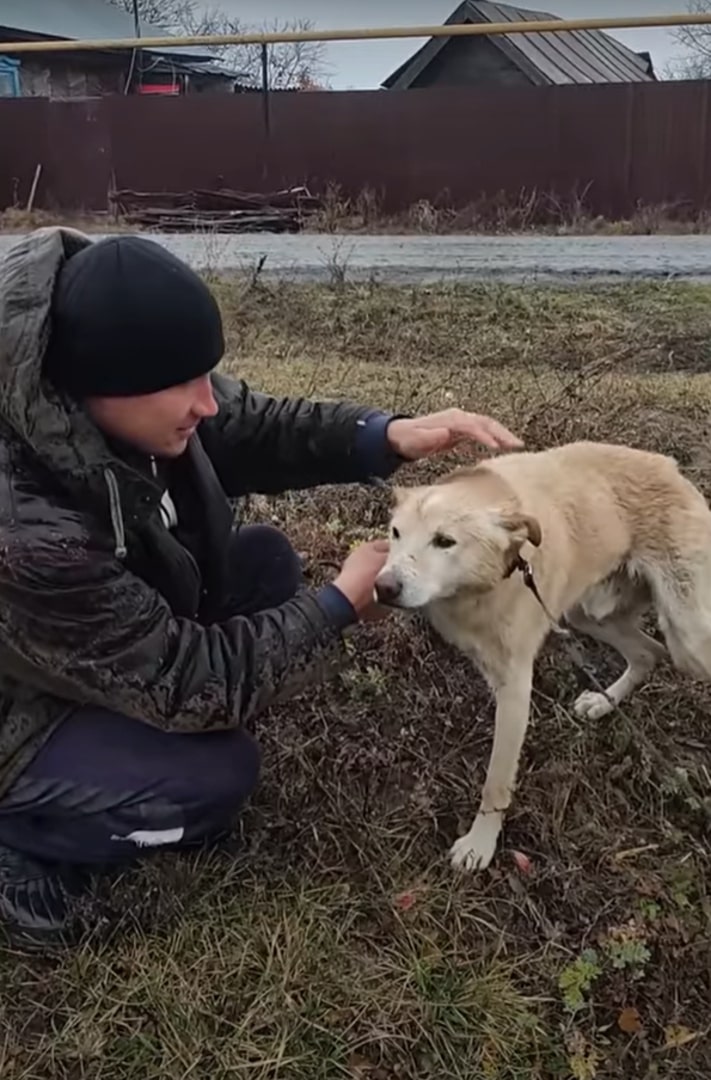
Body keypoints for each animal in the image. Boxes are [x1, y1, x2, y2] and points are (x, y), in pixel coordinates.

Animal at [373, 442, 708, 872]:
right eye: (396, 533)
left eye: (444, 541)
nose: (382, 587)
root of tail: (670, 466)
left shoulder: (516, 689)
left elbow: (496, 784)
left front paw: (480, 845)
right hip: (584, 614)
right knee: (649, 652)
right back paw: (603, 703)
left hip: (690, 639)